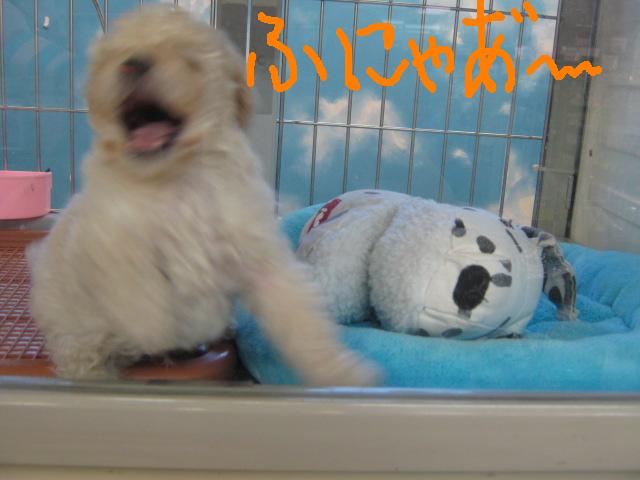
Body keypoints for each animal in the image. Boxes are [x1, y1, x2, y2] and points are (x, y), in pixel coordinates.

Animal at [27, 6, 376, 386]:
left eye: (188, 57)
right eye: (113, 56)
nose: (133, 63)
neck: (176, 178)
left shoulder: (256, 251)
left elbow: (297, 315)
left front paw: (341, 371)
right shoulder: (107, 240)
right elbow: (139, 291)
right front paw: (155, 328)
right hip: (72, 323)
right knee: (83, 353)